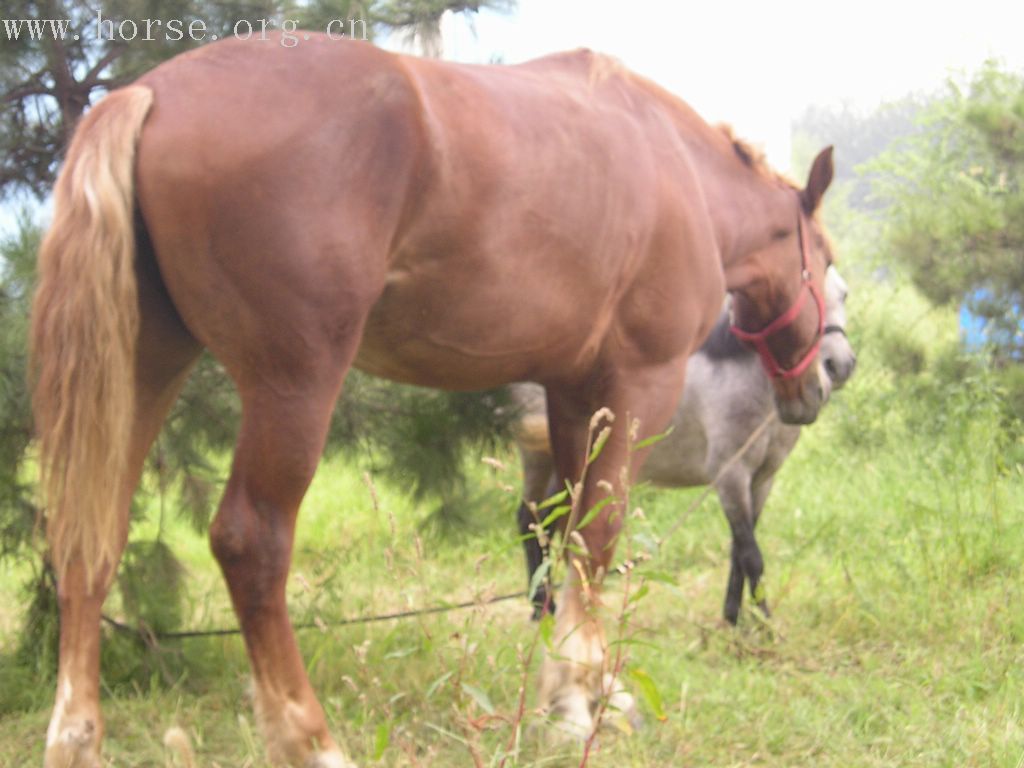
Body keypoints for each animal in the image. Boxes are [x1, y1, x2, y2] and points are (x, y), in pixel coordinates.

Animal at [512, 264, 856, 626]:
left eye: (844, 293)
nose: (839, 365)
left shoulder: (762, 479)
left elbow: (739, 550)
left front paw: (733, 619)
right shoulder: (730, 476)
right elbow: (751, 554)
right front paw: (765, 625)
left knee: (542, 520)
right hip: (542, 457)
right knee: (533, 521)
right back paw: (541, 609)